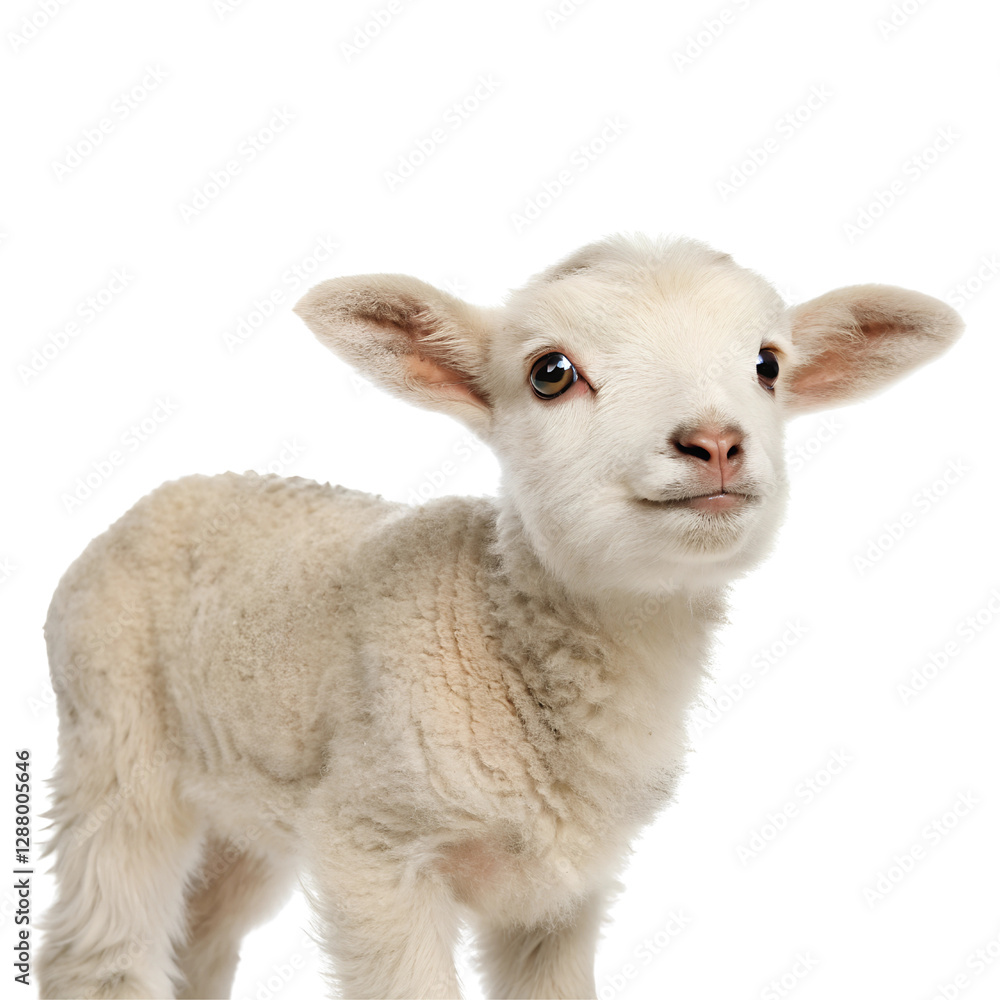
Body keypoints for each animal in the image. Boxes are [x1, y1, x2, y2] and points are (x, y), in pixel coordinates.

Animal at [38, 234, 962, 1000]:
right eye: (551, 373)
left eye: (769, 363)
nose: (716, 444)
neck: (491, 623)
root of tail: (164, 493)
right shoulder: (374, 851)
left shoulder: (562, 891)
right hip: (114, 740)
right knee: (99, 951)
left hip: (245, 805)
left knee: (201, 939)